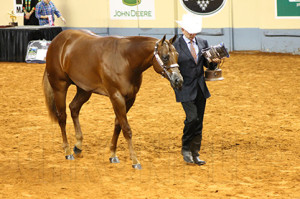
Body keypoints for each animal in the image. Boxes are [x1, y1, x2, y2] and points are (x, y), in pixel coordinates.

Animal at [42, 29, 183, 169]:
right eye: (165, 57)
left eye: (177, 55)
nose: (178, 80)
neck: (125, 59)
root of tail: (57, 40)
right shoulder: (116, 97)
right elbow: (126, 128)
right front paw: (135, 160)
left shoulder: (130, 99)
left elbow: (118, 125)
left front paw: (113, 155)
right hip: (60, 87)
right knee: (62, 117)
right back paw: (68, 151)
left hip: (84, 90)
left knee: (74, 108)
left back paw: (78, 146)